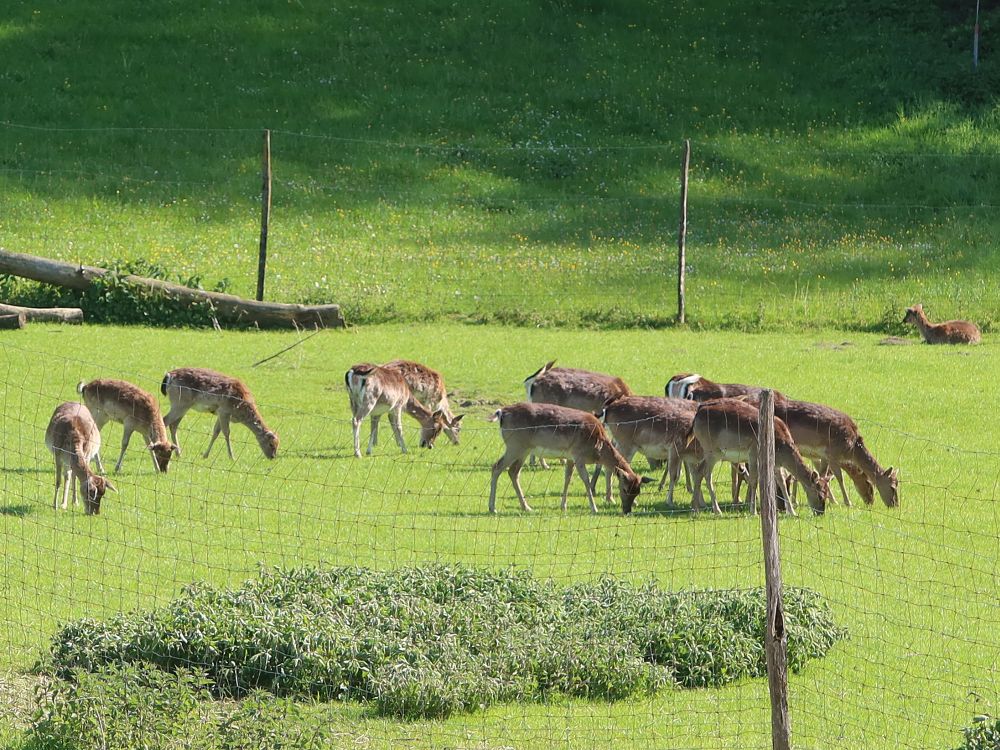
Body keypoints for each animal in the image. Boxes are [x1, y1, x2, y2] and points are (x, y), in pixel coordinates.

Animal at [486, 406, 656, 516]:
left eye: (638, 491)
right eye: (625, 489)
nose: (627, 511)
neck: (597, 447)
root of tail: (501, 413)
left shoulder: (569, 457)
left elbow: (567, 478)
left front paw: (563, 506)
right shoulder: (578, 454)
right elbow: (586, 480)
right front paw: (594, 508)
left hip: (524, 449)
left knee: (513, 472)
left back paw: (526, 507)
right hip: (515, 445)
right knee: (496, 467)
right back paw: (492, 508)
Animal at [688, 400, 828, 516]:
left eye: (827, 493)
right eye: (820, 495)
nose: (820, 512)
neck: (781, 447)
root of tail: (698, 413)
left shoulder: (776, 464)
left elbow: (782, 482)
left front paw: (792, 512)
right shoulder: (753, 454)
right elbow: (754, 480)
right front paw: (753, 511)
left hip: (712, 452)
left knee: (699, 472)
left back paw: (695, 509)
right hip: (711, 450)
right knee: (706, 474)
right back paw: (717, 510)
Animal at [772, 400, 900, 512]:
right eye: (893, 487)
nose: (895, 505)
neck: (852, 448)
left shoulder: (823, 456)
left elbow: (823, 475)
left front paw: (831, 500)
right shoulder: (832, 454)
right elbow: (839, 477)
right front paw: (846, 503)